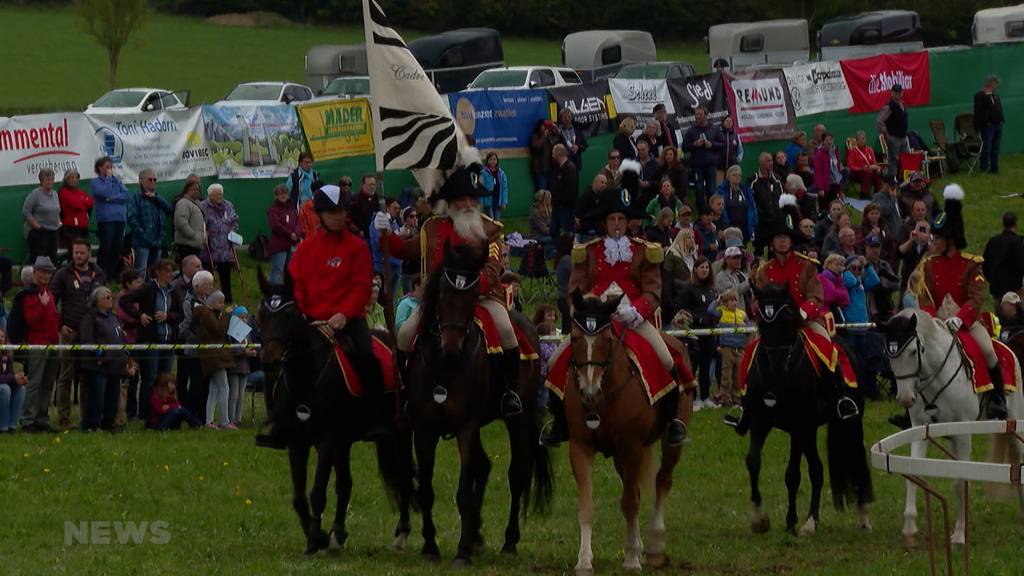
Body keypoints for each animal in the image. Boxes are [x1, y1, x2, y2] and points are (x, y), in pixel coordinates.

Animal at [405, 241, 552, 565]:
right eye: (442, 294)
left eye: (472, 297)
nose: (451, 348)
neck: (444, 368)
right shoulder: (424, 429)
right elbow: (426, 489)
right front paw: (430, 546)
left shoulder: (466, 427)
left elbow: (463, 490)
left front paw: (461, 552)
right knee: (483, 467)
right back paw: (475, 535)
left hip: (517, 419)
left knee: (516, 473)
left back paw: (508, 541)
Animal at [565, 289, 692, 569]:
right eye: (575, 338)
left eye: (607, 339)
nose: (589, 393)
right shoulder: (580, 446)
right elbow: (586, 504)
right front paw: (584, 559)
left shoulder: (632, 448)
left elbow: (631, 502)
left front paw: (633, 558)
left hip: (670, 444)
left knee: (662, 481)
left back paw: (654, 547)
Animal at [737, 282, 872, 532]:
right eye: (760, 321)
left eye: (787, 319)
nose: (777, 366)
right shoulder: (761, 420)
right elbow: (753, 462)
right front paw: (759, 519)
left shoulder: (798, 425)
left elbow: (791, 474)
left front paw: (790, 521)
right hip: (810, 430)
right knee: (817, 470)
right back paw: (812, 520)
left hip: (847, 422)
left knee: (855, 461)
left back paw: (862, 517)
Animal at [876, 307, 1019, 545]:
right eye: (889, 354)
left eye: (913, 352)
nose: (905, 398)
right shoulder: (921, 430)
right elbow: (914, 475)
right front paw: (909, 529)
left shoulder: (963, 433)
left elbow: (960, 481)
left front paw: (960, 534)